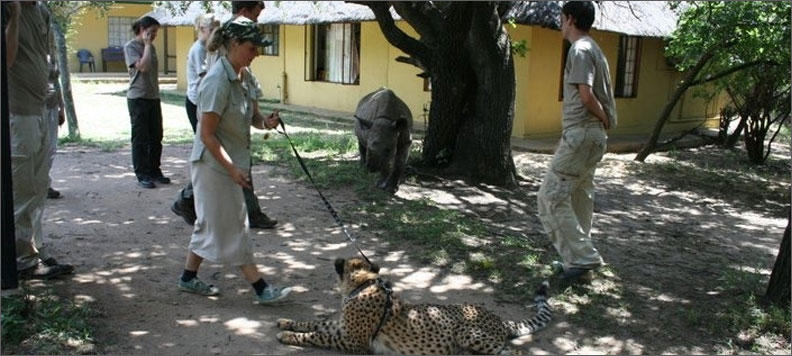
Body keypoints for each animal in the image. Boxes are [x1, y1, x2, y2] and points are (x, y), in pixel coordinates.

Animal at [276, 258, 552, 354]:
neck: (364, 284)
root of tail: (499, 318)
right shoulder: (343, 329)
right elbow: (315, 323)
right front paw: (285, 322)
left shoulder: (354, 342)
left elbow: (316, 335)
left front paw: (287, 335)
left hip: (466, 331)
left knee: (515, 353)